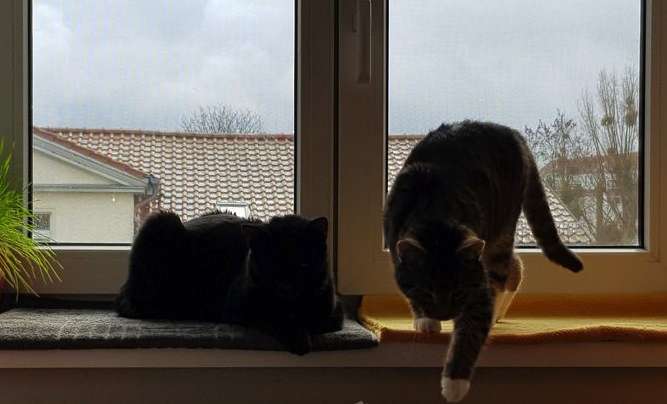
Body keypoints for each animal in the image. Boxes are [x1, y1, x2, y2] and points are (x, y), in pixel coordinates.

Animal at [116, 210, 343, 355]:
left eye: (304, 264)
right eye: (270, 265)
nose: (286, 286)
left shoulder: (333, 312)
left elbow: (311, 319)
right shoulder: (239, 307)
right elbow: (273, 317)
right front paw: (298, 339)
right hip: (160, 223)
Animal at [383, 120, 583, 402]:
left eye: (458, 291)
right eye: (427, 291)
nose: (445, 314)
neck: (435, 214)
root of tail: (510, 131)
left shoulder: (476, 283)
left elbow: (473, 325)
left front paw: (454, 383)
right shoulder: (396, 251)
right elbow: (409, 289)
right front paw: (424, 319)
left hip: (503, 224)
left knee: (504, 271)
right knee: (514, 265)